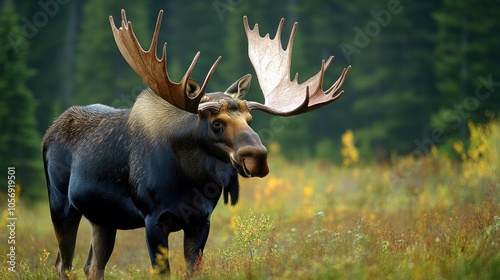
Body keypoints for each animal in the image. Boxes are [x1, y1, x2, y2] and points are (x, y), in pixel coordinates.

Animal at [43, 9, 350, 280]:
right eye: (216, 123)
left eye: (250, 119)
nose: (258, 157)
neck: (190, 180)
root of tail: (49, 131)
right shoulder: (154, 219)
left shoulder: (201, 221)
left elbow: (192, 270)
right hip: (61, 206)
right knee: (63, 264)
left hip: (104, 218)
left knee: (92, 266)